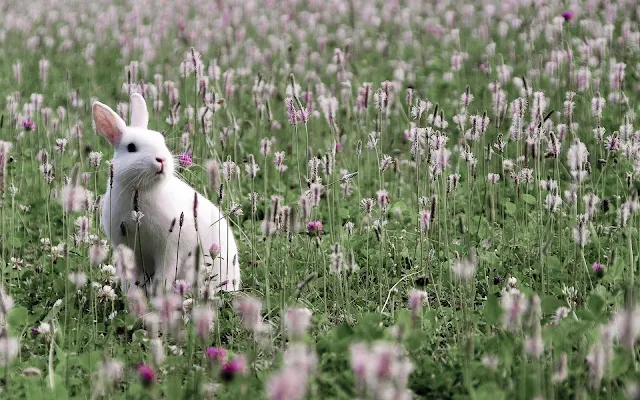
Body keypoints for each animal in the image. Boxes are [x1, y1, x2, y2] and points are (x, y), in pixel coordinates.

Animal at [91, 92, 239, 296]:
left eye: (161, 141)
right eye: (131, 147)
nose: (161, 160)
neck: (144, 190)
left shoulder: (170, 249)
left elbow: (164, 275)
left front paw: (158, 295)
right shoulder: (127, 248)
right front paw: (133, 295)